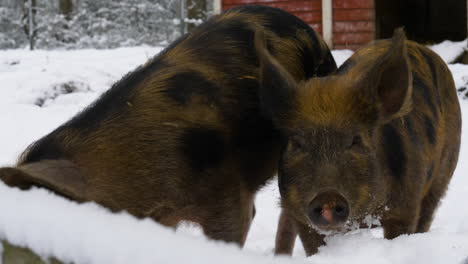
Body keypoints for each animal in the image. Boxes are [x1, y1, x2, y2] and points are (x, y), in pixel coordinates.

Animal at [258, 29, 462, 256]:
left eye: (356, 140)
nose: (327, 197)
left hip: (442, 175)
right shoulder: (299, 214)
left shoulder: (406, 206)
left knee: (427, 214)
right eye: (297, 143)